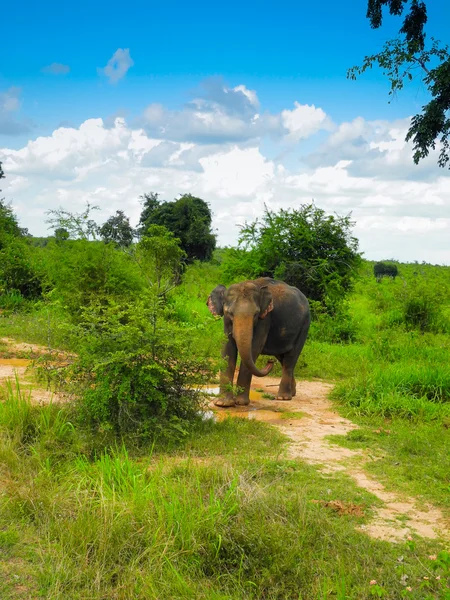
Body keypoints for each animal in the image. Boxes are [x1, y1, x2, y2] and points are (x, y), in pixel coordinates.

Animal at [207, 276, 310, 408]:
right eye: (229, 313)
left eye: (256, 314)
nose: (270, 361)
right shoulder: (226, 321)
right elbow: (227, 348)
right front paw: (223, 404)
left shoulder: (265, 319)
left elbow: (254, 348)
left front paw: (241, 403)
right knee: (282, 358)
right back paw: (292, 393)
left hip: (304, 327)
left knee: (290, 359)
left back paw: (283, 397)